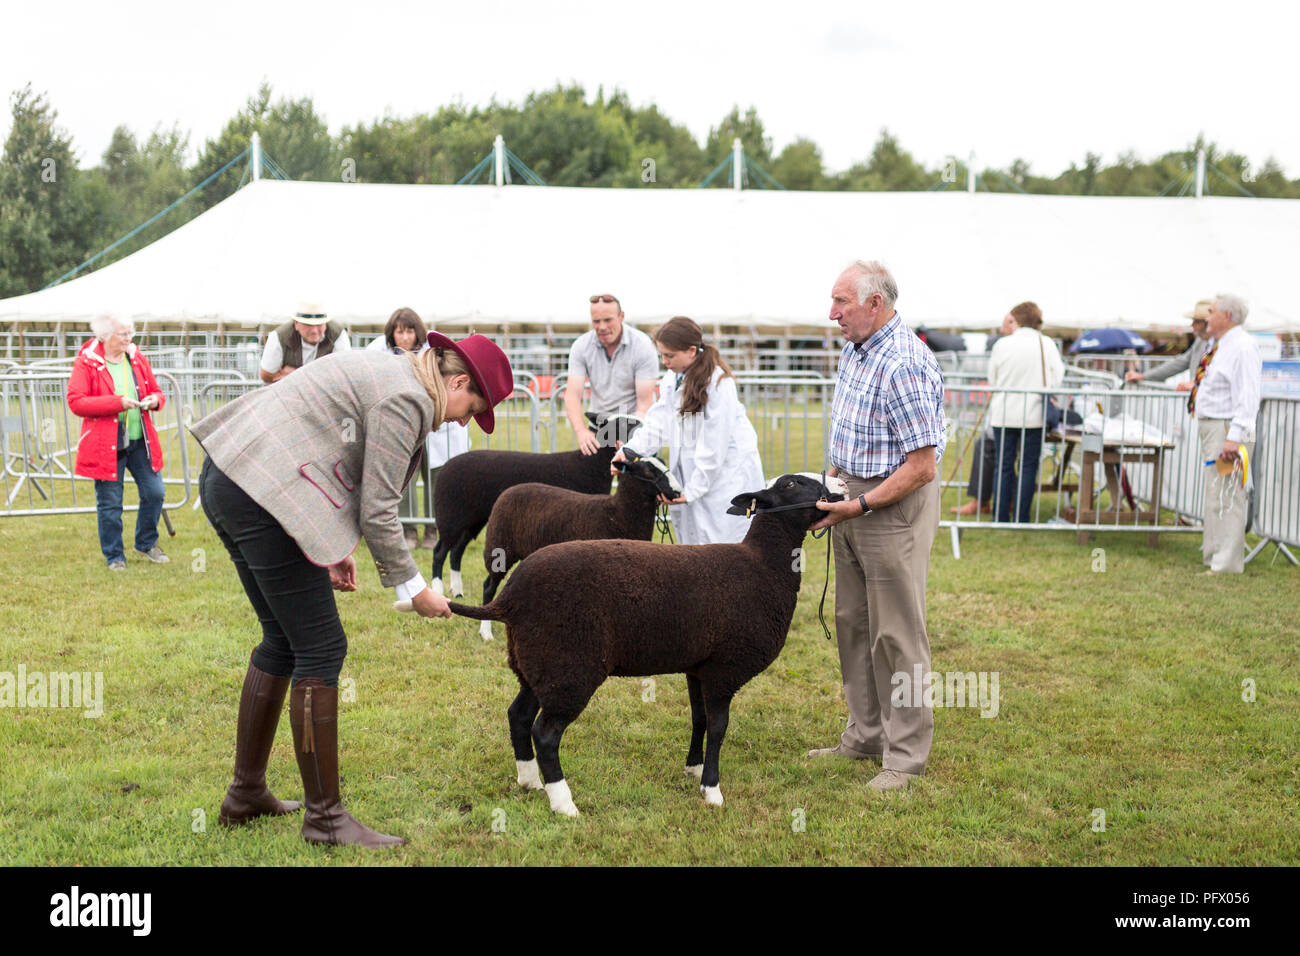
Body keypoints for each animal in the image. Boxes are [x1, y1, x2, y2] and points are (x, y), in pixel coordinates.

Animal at [428, 411, 642, 598]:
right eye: (624, 424)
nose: (643, 425)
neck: (590, 465)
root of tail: (445, 467)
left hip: (473, 519)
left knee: (456, 551)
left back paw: (457, 591)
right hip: (450, 515)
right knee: (439, 552)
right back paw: (438, 590)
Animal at [449, 470, 852, 816]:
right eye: (792, 484)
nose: (843, 486)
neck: (763, 565)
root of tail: (510, 597)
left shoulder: (699, 666)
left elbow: (699, 719)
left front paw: (693, 769)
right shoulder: (724, 668)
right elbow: (719, 727)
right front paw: (712, 790)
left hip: (538, 663)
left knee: (517, 715)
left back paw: (530, 781)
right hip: (569, 665)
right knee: (545, 733)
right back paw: (564, 803)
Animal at [475, 450, 681, 642]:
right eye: (648, 471)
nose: (678, 492)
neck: (617, 514)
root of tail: (509, 490)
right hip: (499, 547)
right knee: (488, 587)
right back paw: (486, 632)